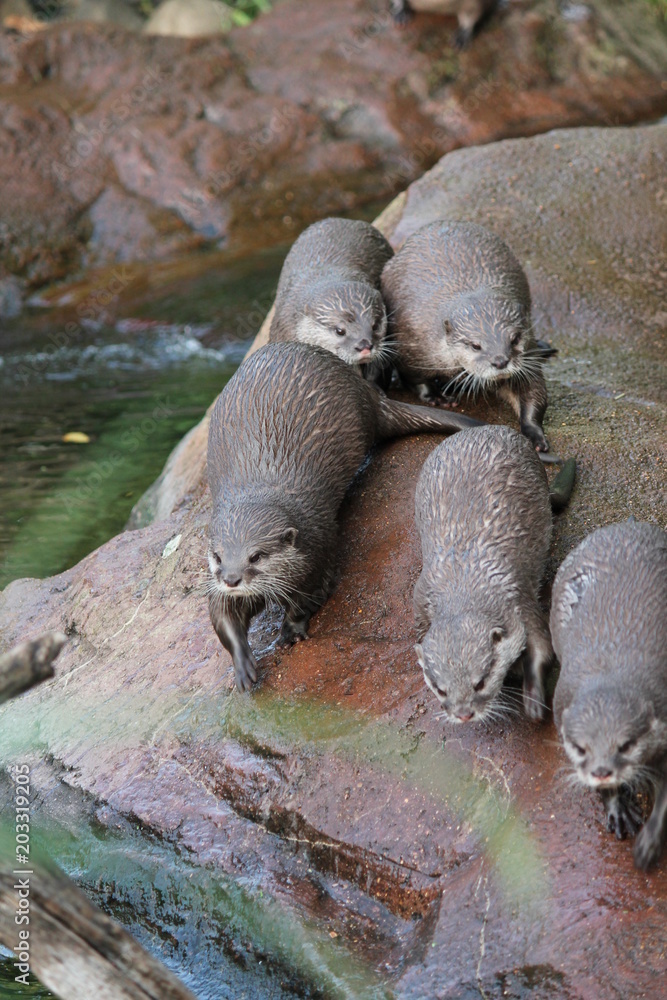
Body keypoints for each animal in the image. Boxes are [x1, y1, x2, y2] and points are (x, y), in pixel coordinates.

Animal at [207, 342, 483, 692]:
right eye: (218, 557)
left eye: (256, 556)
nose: (231, 579)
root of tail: (365, 392)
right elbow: (222, 615)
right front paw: (242, 664)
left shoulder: (319, 549)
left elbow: (310, 597)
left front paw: (290, 630)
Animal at [381, 221, 551, 452]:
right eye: (475, 345)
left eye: (514, 339)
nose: (500, 361)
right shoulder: (410, 343)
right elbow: (413, 377)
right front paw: (436, 396)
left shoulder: (528, 354)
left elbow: (534, 391)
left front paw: (535, 434)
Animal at [414, 426, 575, 723]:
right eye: (440, 689)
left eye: (480, 682)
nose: (464, 714)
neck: (463, 579)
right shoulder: (420, 602)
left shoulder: (519, 597)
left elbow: (543, 648)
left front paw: (533, 698)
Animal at [551, 521, 667, 870]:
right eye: (580, 748)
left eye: (626, 744)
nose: (602, 771)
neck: (609, 668)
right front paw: (616, 808)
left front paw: (649, 844)